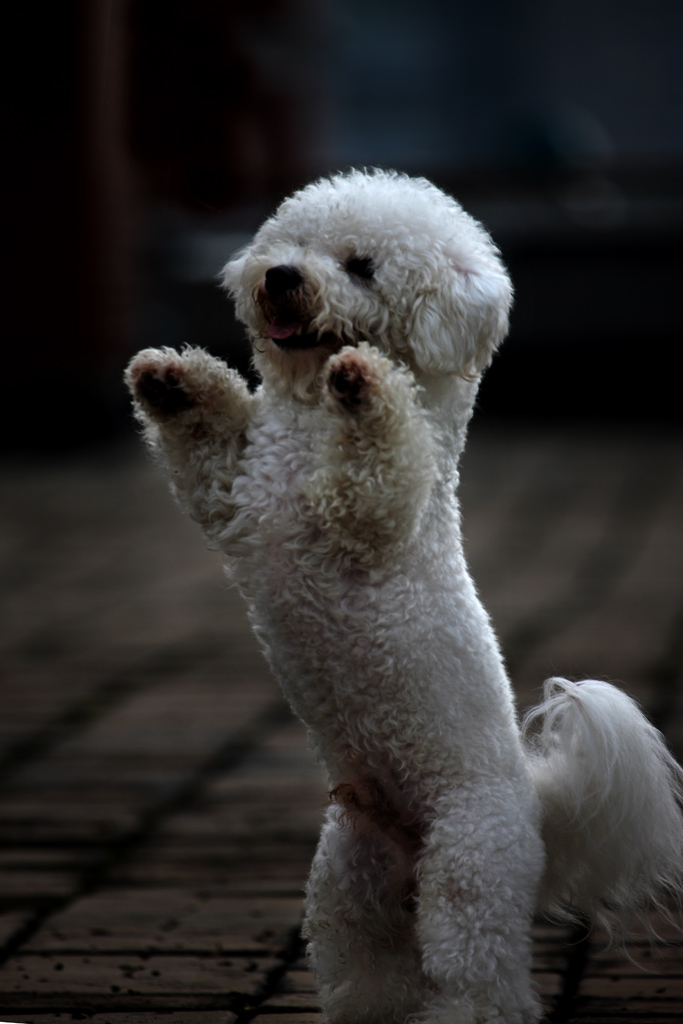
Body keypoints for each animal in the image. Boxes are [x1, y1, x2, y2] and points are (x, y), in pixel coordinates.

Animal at [124, 169, 683, 1024]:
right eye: (292, 244)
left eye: (360, 267)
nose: (278, 278)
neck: (304, 422)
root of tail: (534, 810)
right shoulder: (231, 496)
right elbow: (204, 444)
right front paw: (173, 379)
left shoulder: (372, 510)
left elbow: (378, 455)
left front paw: (364, 381)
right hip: (345, 879)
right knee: (369, 961)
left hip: (469, 866)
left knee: (479, 976)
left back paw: (463, 1010)